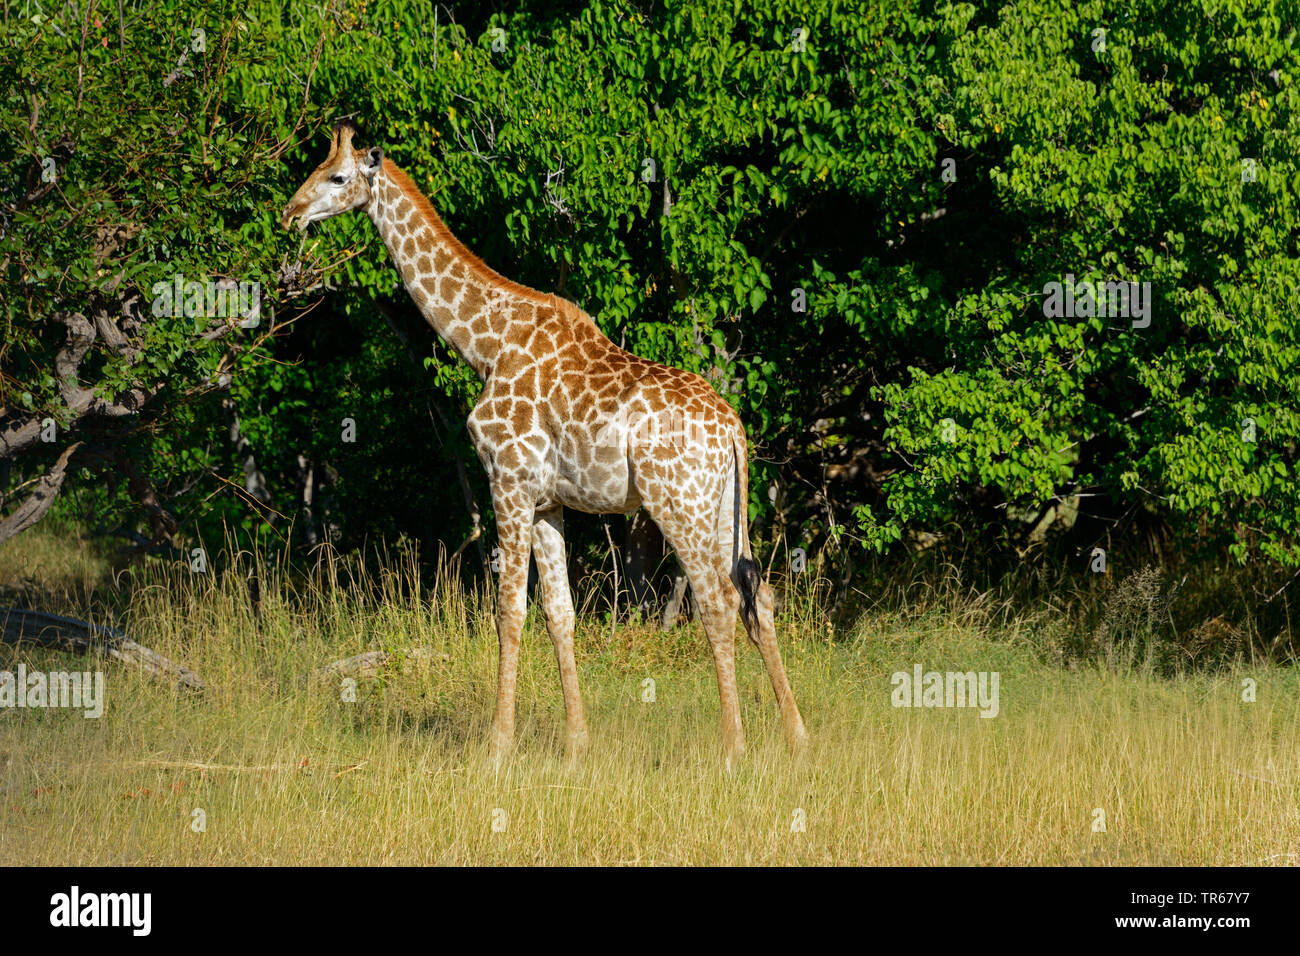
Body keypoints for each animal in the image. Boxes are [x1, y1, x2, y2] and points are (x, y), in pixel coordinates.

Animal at [283, 121, 806, 764]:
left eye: (336, 176)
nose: (291, 213)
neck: (484, 345)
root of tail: (732, 429)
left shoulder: (506, 482)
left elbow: (509, 611)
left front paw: (497, 745)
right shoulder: (547, 500)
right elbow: (560, 613)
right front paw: (578, 743)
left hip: (677, 503)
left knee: (717, 599)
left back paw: (734, 746)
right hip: (727, 504)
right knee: (761, 595)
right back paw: (797, 736)